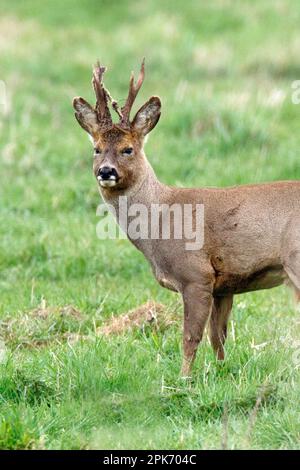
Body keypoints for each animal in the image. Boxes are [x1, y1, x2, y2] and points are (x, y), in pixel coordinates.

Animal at [73, 61, 300, 378]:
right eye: (96, 148)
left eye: (128, 149)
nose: (106, 171)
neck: (160, 221)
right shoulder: (224, 285)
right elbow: (218, 337)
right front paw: (220, 373)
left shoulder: (196, 274)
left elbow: (190, 337)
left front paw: (183, 379)